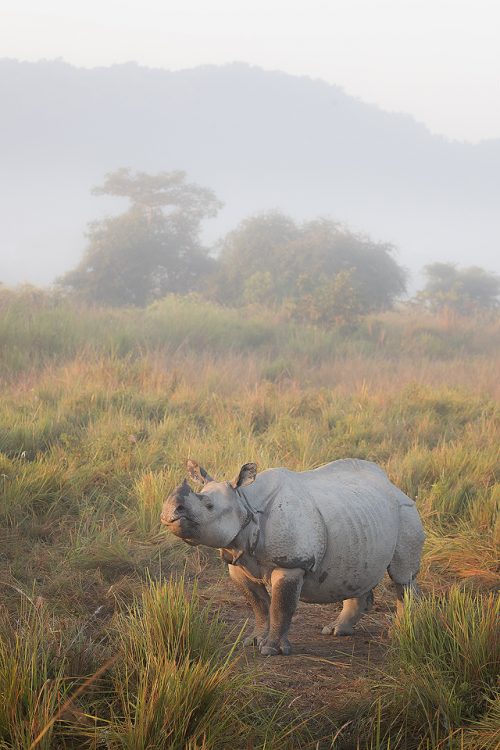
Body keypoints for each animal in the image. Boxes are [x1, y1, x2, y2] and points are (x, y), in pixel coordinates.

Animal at [161, 458, 426, 656]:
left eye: (209, 507)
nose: (167, 513)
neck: (244, 503)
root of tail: (394, 486)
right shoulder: (236, 562)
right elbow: (258, 605)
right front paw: (254, 641)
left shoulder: (290, 564)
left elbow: (281, 606)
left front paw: (271, 650)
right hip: (360, 517)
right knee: (358, 571)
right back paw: (336, 631)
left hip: (405, 511)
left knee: (402, 577)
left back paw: (399, 633)